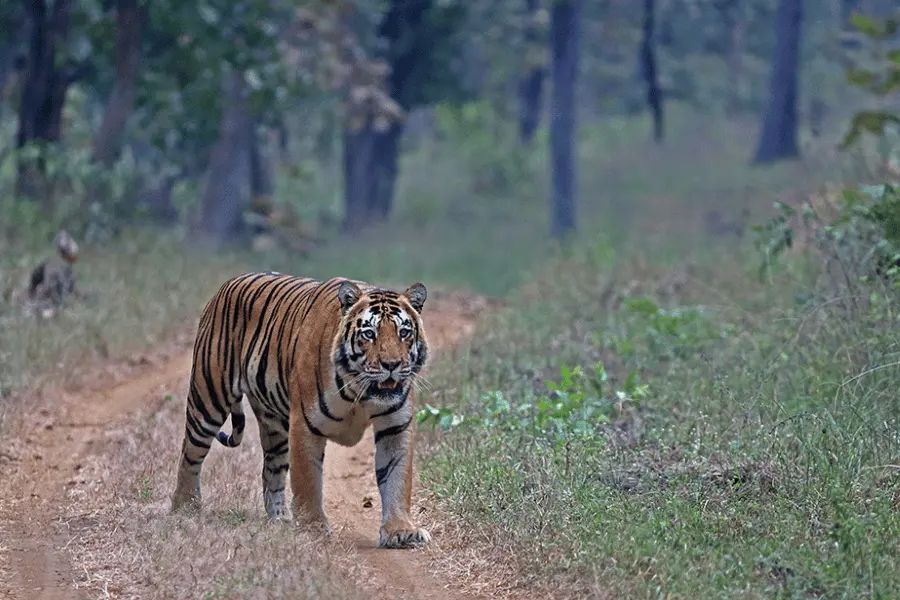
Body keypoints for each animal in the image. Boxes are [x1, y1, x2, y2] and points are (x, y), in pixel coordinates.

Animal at [170, 272, 432, 549]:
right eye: (369, 334)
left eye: (404, 332)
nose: (392, 365)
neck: (361, 391)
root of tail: (229, 283)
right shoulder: (305, 425)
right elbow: (308, 481)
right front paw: (313, 527)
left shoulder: (396, 427)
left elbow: (397, 478)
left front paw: (400, 531)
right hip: (208, 398)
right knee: (190, 454)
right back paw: (185, 508)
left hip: (274, 427)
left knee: (271, 471)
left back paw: (280, 520)